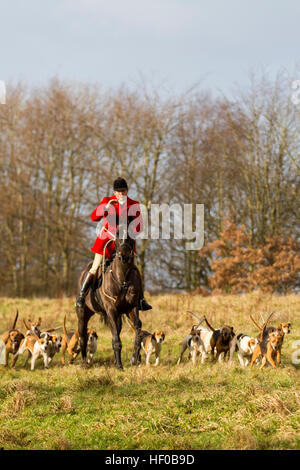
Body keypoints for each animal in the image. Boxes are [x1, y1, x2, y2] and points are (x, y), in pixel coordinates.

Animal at [77, 229, 144, 370]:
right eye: (117, 233)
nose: (124, 255)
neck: (122, 279)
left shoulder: (132, 308)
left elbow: (137, 332)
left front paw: (134, 359)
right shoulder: (111, 310)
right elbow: (116, 340)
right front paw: (119, 365)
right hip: (82, 314)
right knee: (82, 337)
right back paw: (84, 363)